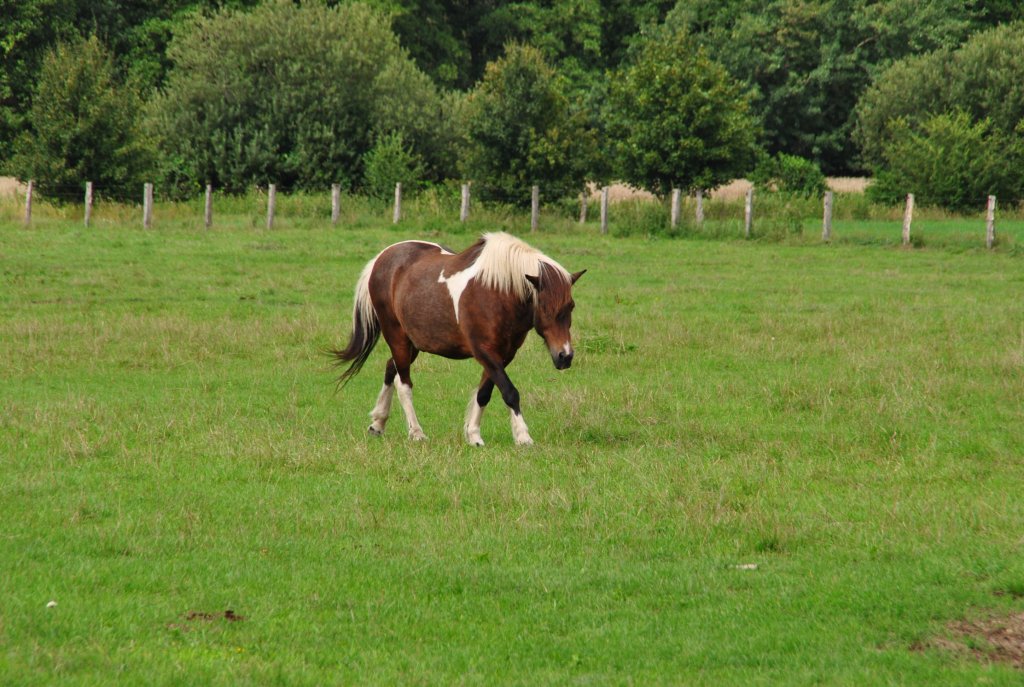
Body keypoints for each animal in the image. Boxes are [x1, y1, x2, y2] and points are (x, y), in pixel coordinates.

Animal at [333, 232, 585, 446]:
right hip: (396, 336)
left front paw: (473, 435)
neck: (497, 292)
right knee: (403, 384)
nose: (565, 356)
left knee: (389, 369)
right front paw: (523, 437)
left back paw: (378, 423)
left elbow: (484, 394)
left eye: (571, 306)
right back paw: (416, 432)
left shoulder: (503, 355)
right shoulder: (484, 351)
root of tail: (382, 257)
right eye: (545, 308)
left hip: (413, 342)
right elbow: (510, 392)